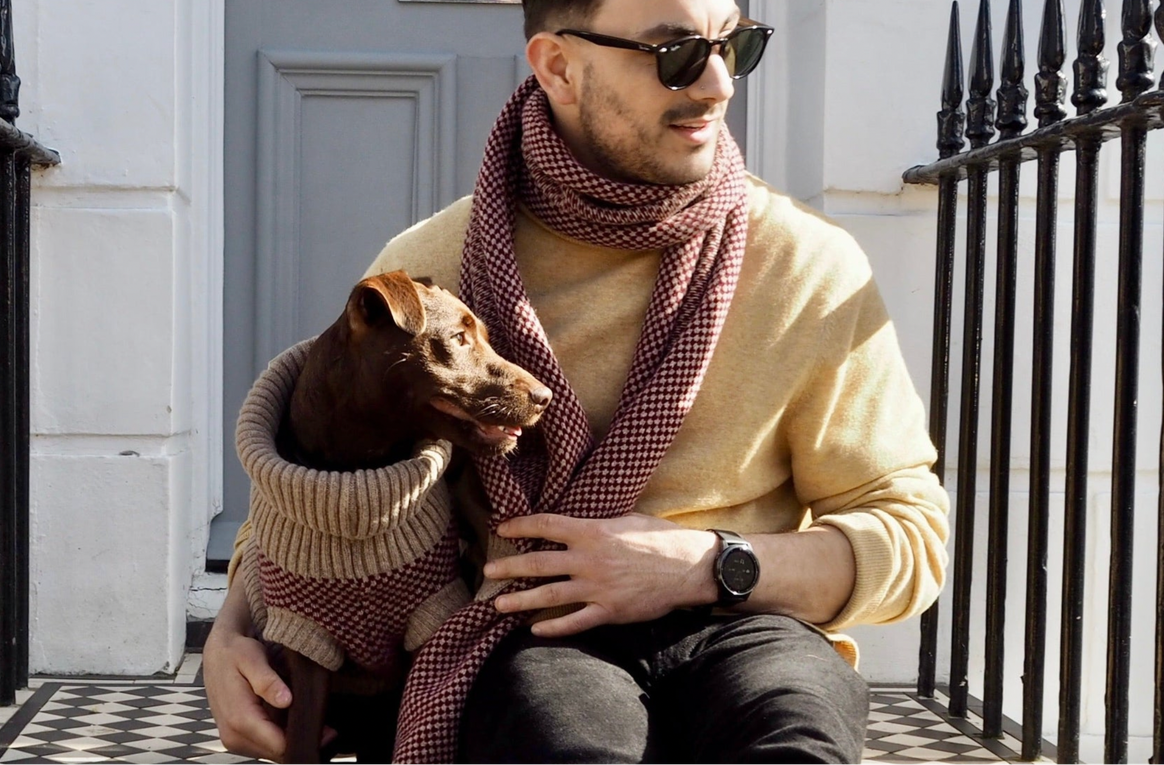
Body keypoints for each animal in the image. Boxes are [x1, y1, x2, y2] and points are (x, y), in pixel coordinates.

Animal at [242, 270, 549, 763]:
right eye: (459, 338)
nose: (545, 397)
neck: (359, 481)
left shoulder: (431, 619)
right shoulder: (304, 643)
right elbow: (303, 738)